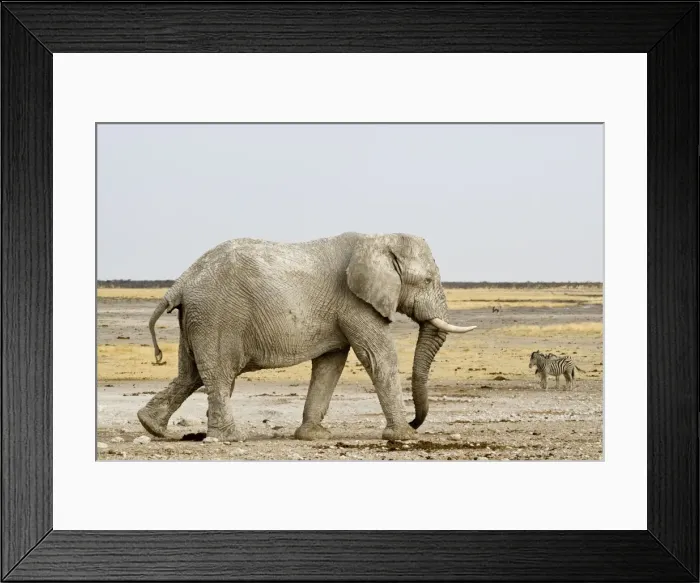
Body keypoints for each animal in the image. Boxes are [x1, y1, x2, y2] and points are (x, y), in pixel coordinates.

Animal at [137, 232, 476, 442]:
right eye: (428, 280)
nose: (416, 421)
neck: (378, 239)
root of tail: (181, 282)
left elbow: (330, 365)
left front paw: (313, 436)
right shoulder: (355, 302)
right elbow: (378, 357)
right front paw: (404, 436)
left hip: (197, 317)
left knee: (190, 374)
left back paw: (152, 427)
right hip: (216, 315)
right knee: (218, 373)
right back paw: (230, 438)